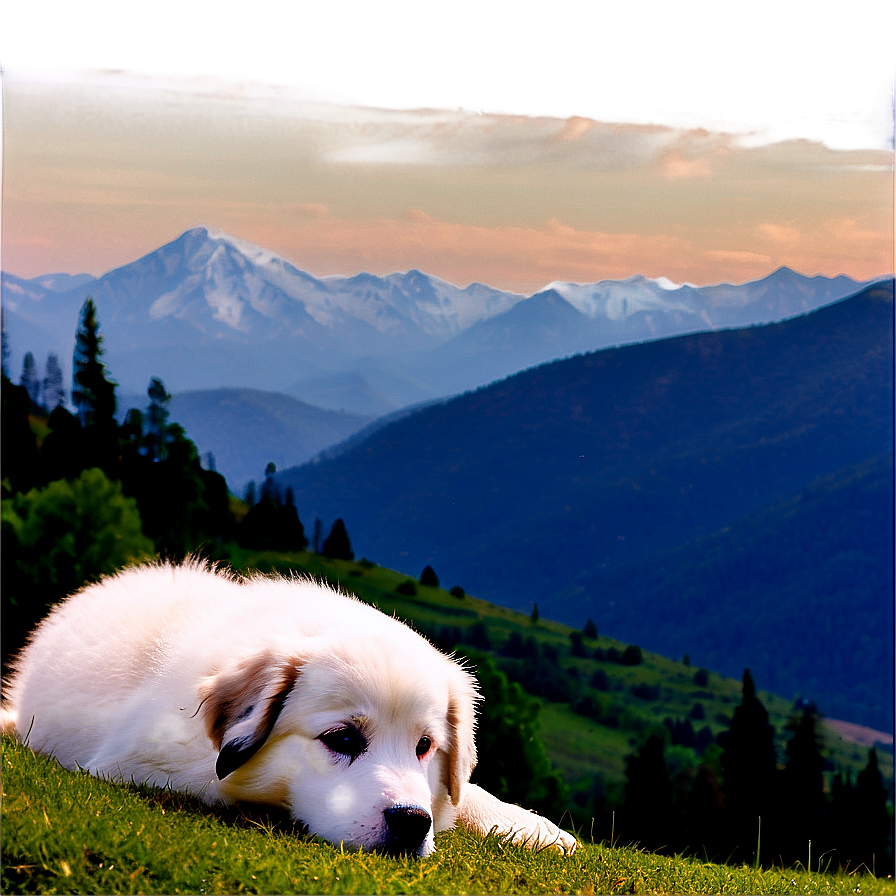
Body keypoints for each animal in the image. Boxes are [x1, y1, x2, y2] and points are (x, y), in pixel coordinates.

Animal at [1, 564, 576, 856]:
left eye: (425, 747)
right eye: (341, 739)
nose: (412, 824)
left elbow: (465, 794)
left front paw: (535, 828)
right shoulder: (143, 761)